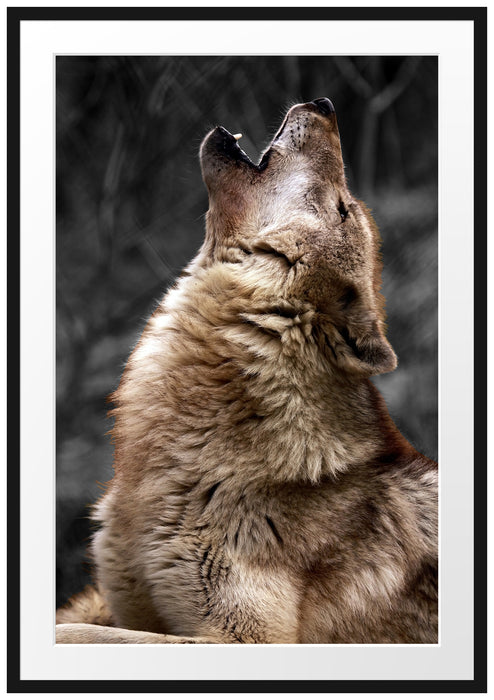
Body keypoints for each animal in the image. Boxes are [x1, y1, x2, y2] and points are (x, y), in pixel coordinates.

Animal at [57, 98, 438, 644]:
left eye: (342, 208)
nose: (325, 104)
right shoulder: (127, 603)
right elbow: (92, 624)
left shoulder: (245, 636)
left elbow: (83, 633)